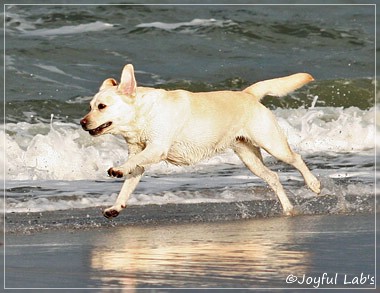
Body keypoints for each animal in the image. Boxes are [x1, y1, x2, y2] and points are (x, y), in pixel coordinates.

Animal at [80, 64, 320, 219]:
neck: (142, 115)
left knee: (296, 158)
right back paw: (288, 209)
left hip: (272, 143)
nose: (82, 122)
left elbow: (130, 163)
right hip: (248, 156)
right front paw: (115, 207)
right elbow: (127, 186)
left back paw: (313, 184)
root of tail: (248, 94)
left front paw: (118, 169)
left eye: (101, 106)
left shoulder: (157, 148)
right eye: (89, 107)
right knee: (273, 177)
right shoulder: (139, 157)